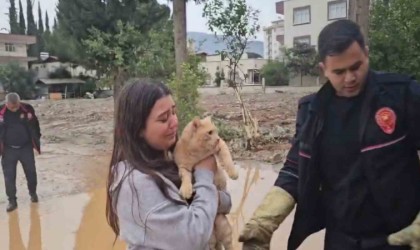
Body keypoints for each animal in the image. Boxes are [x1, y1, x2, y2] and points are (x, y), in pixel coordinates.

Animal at [174, 116, 238, 249]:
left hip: (224, 228)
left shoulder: (221, 146)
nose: (217, 138)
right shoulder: (183, 167)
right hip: (210, 239)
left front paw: (233, 173)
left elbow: (227, 158)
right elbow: (186, 178)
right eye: (209, 132)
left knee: (228, 245)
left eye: (216, 131)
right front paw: (186, 190)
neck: (198, 152)